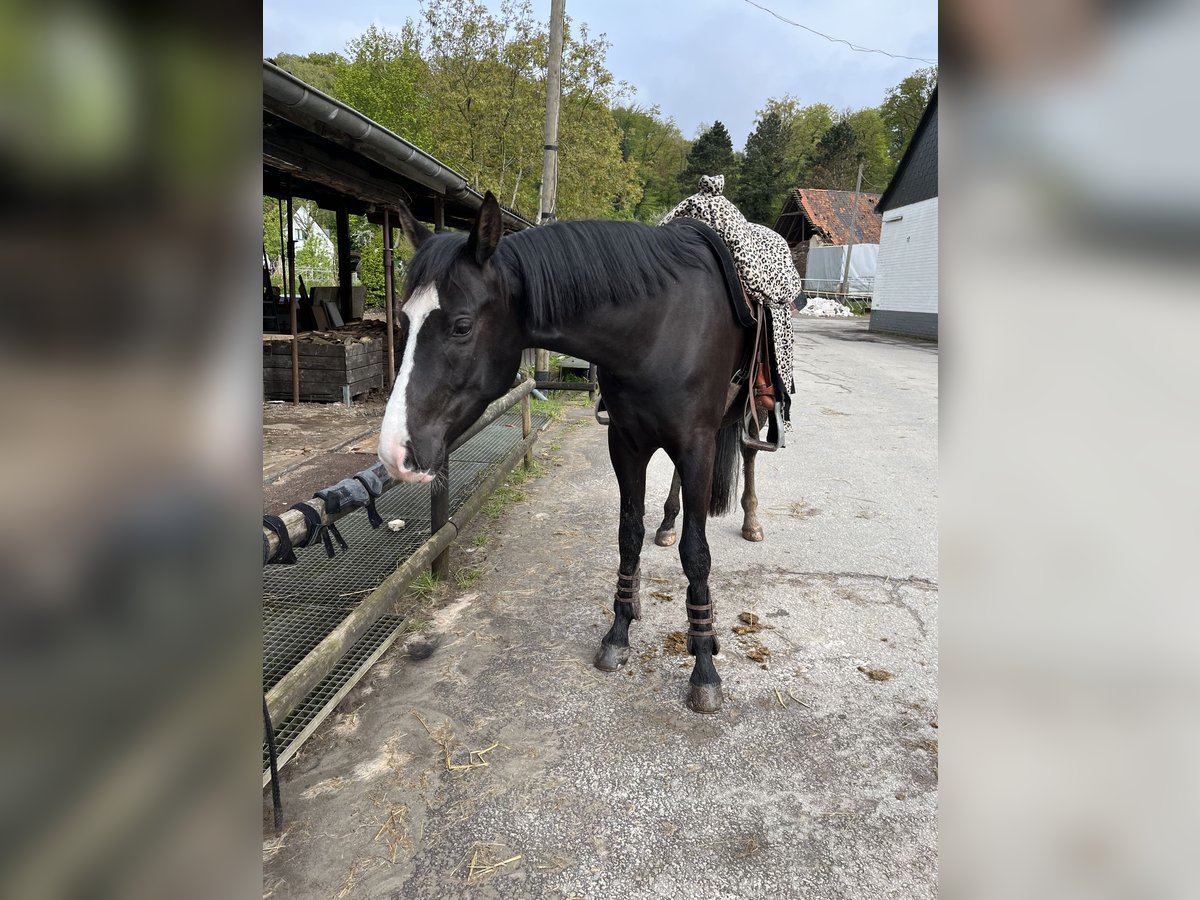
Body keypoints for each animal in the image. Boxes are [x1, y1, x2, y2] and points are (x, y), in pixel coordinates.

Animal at [384, 194, 772, 715]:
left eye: (462, 326)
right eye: (403, 321)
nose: (393, 452)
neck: (658, 327)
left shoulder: (697, 444)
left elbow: (697, 554)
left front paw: (704, 664)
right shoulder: (626, 443)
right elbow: (629, 536)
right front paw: (619, 632)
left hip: (748, 417)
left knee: (749, 455)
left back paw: (751, 521)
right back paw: (668, 522)